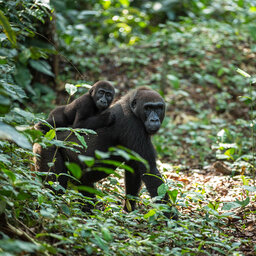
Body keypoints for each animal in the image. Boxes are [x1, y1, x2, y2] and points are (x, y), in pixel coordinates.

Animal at [33, 87, 174, 217]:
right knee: (56, 187)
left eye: (158, 108)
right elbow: (150, 172)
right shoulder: (134, 126)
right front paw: (171, 217)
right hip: (47, 147)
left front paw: (128, 210)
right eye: (148, 108)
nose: (154, 120)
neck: (132, 108)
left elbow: (134, 170)